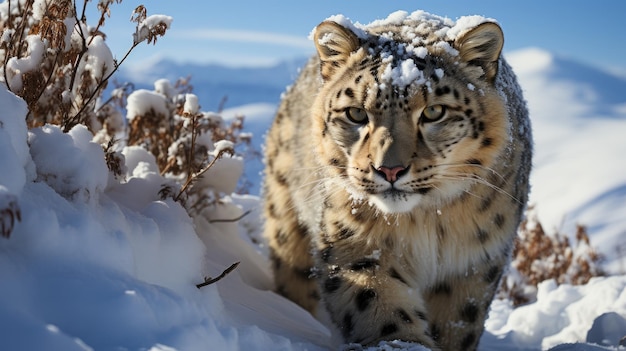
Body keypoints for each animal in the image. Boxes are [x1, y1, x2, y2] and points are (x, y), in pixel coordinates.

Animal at [260, 11, 528, 351]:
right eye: (356, 113)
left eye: (435, 111)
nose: (389, 170)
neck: (427, 223)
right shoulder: (355, 247)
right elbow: (378, 305)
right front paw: (404, 342)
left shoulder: (473, 263)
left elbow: (457, 323)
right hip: (285, 219)